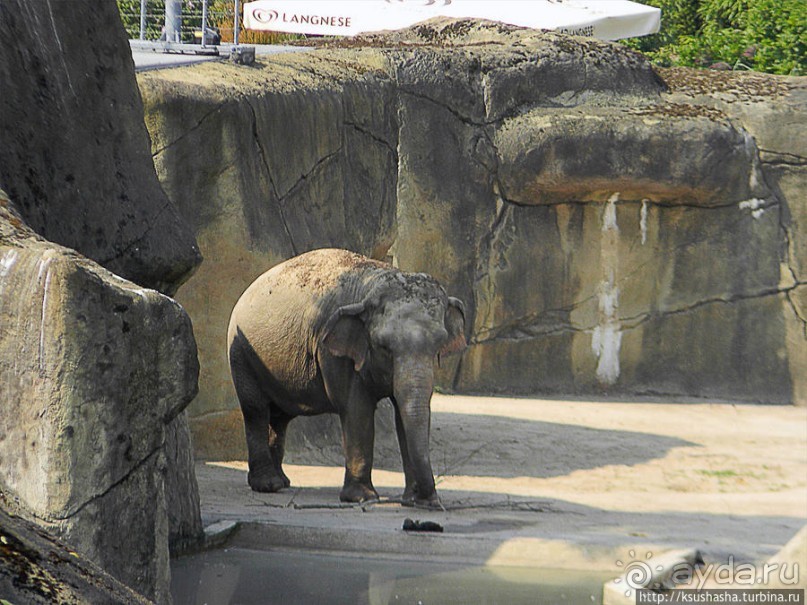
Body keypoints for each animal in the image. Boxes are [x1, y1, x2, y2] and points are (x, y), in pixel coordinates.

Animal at [227, 245, 468, 504]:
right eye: (384, 346)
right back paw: (268, 485)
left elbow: (403, 414)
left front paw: (414, 501)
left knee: (280, 417)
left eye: (439, 344)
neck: (374, 281)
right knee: (256, 409)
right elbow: (356, 409)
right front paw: (362, 498)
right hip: (241, 353)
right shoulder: (333, 352)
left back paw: (282, 482)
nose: (430, 500)